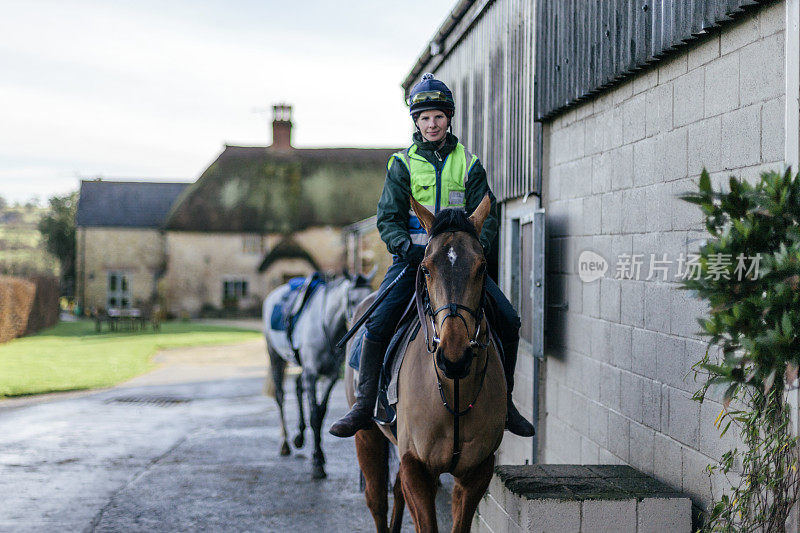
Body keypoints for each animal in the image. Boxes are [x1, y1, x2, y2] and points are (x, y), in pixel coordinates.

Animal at [262, 270, 376, 478]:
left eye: (370, 294)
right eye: (352, 300)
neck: (327, 327)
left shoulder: (330, 375)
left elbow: (321, 413)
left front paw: (320, 455)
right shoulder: (313, 374)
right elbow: (315, 414)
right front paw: (317, 462)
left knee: (298, 386)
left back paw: (299, 436)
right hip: (275, 357)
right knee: (280, 396)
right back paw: (285, 443)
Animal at [346, 196, 506, 532]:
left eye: (482, 267)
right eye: (426, 269)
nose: (454, 357)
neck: (454, 389)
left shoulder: (476, 472)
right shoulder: (416, 466)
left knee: (394, 492)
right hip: (367, 436)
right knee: (377, 500)